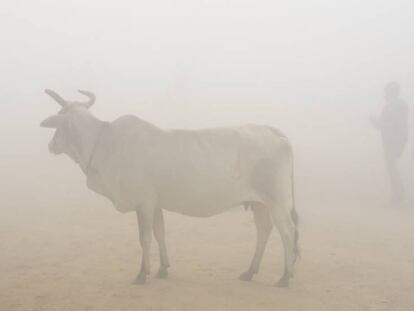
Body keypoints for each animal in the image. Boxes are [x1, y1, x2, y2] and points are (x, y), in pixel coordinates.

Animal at [40, 88, 300, 288]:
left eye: (60, 119)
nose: (51, 145)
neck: (104, 142)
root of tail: (274, 131)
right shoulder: (155, 204)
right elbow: (160, 233)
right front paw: (163, 269)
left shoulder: (143, 204)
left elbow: (144, 238)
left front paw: (141, 274)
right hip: (260, 203)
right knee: (264, 231)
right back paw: (250, 271)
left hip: (277, 201)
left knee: (288, 233)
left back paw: (285, 277)